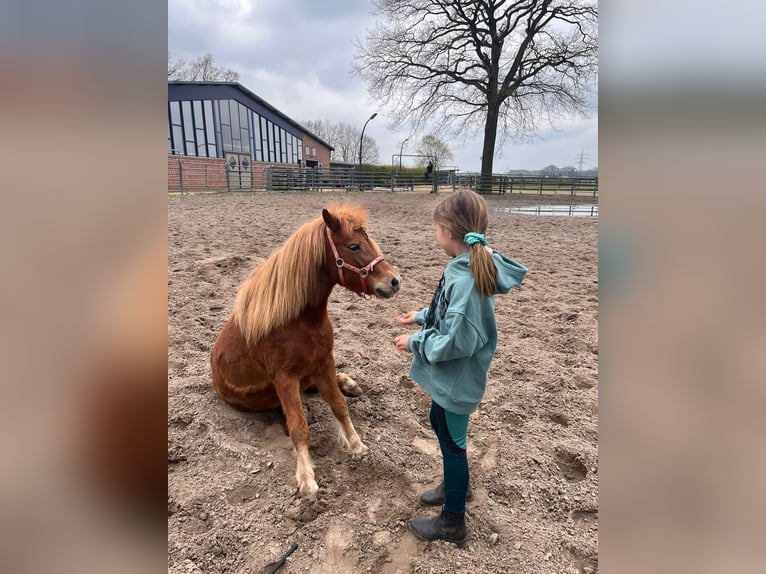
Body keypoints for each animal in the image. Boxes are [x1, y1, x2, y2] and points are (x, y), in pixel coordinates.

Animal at [210, 205, 402, 498]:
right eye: (354, 246)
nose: (394, 281)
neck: (299, 320)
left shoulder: (325, 362)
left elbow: (339, 406)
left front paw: (356, 445)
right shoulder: (286, 379)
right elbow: (299, 427)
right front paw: (306, 478)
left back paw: (349, 383)